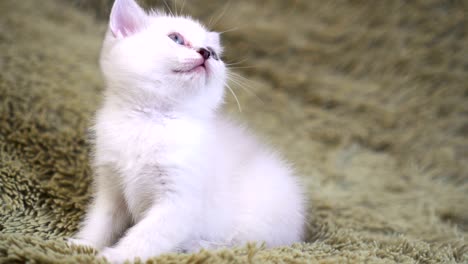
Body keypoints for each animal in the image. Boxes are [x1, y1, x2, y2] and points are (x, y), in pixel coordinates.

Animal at [70, 0, 308, 262]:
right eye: (176, 38)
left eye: (214, 53)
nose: (206, 52)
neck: (151, 120)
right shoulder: (111, 188)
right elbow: (101, 222)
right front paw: (83, 245)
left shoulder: (178, 204)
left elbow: (145, 236)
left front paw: (114, 256)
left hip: (258, 222)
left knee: (246, 245)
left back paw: (196, 246)